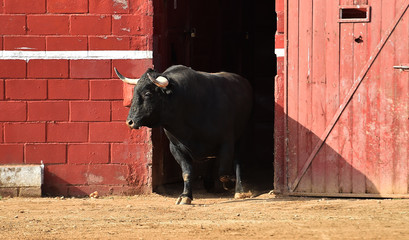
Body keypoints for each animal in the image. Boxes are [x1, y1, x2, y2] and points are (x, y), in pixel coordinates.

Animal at [115, 65, 253, 204]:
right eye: (134, 92)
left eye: (148, 94)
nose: (130, 122)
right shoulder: (176, 148)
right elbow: (187, 172)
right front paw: (185, 196)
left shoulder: (227, 142)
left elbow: (223, 172)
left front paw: (230, 184)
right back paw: (209, 184)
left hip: (242, 136)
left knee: (237, 161)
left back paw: (240, 191)